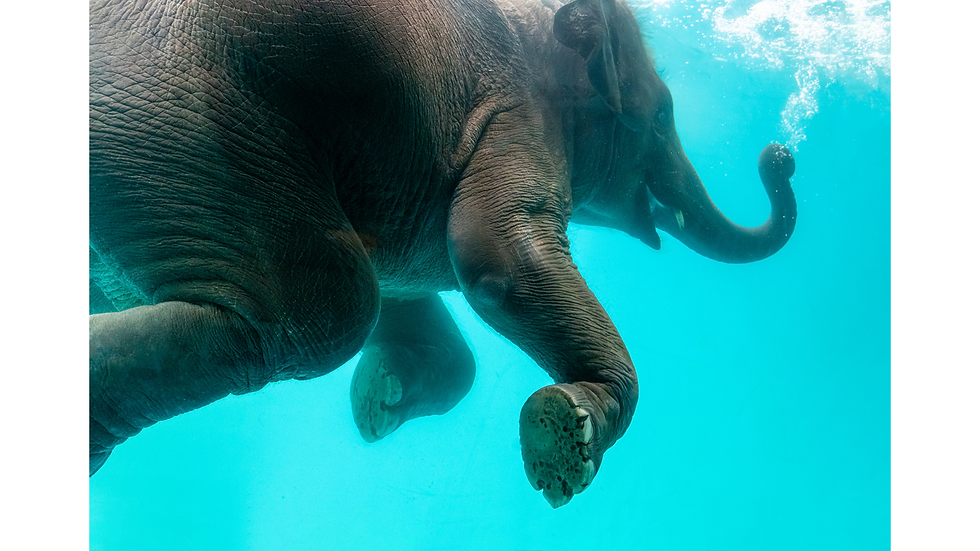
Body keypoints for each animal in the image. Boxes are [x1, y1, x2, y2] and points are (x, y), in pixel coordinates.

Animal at [89, 0, 797, 508]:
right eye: (660, 116)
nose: (780, 156)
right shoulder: (516, 114)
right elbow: (494, 257)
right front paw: (565, 433)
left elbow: (423, 307)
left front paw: (379, 400)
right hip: (179, 117)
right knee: (321, 309)